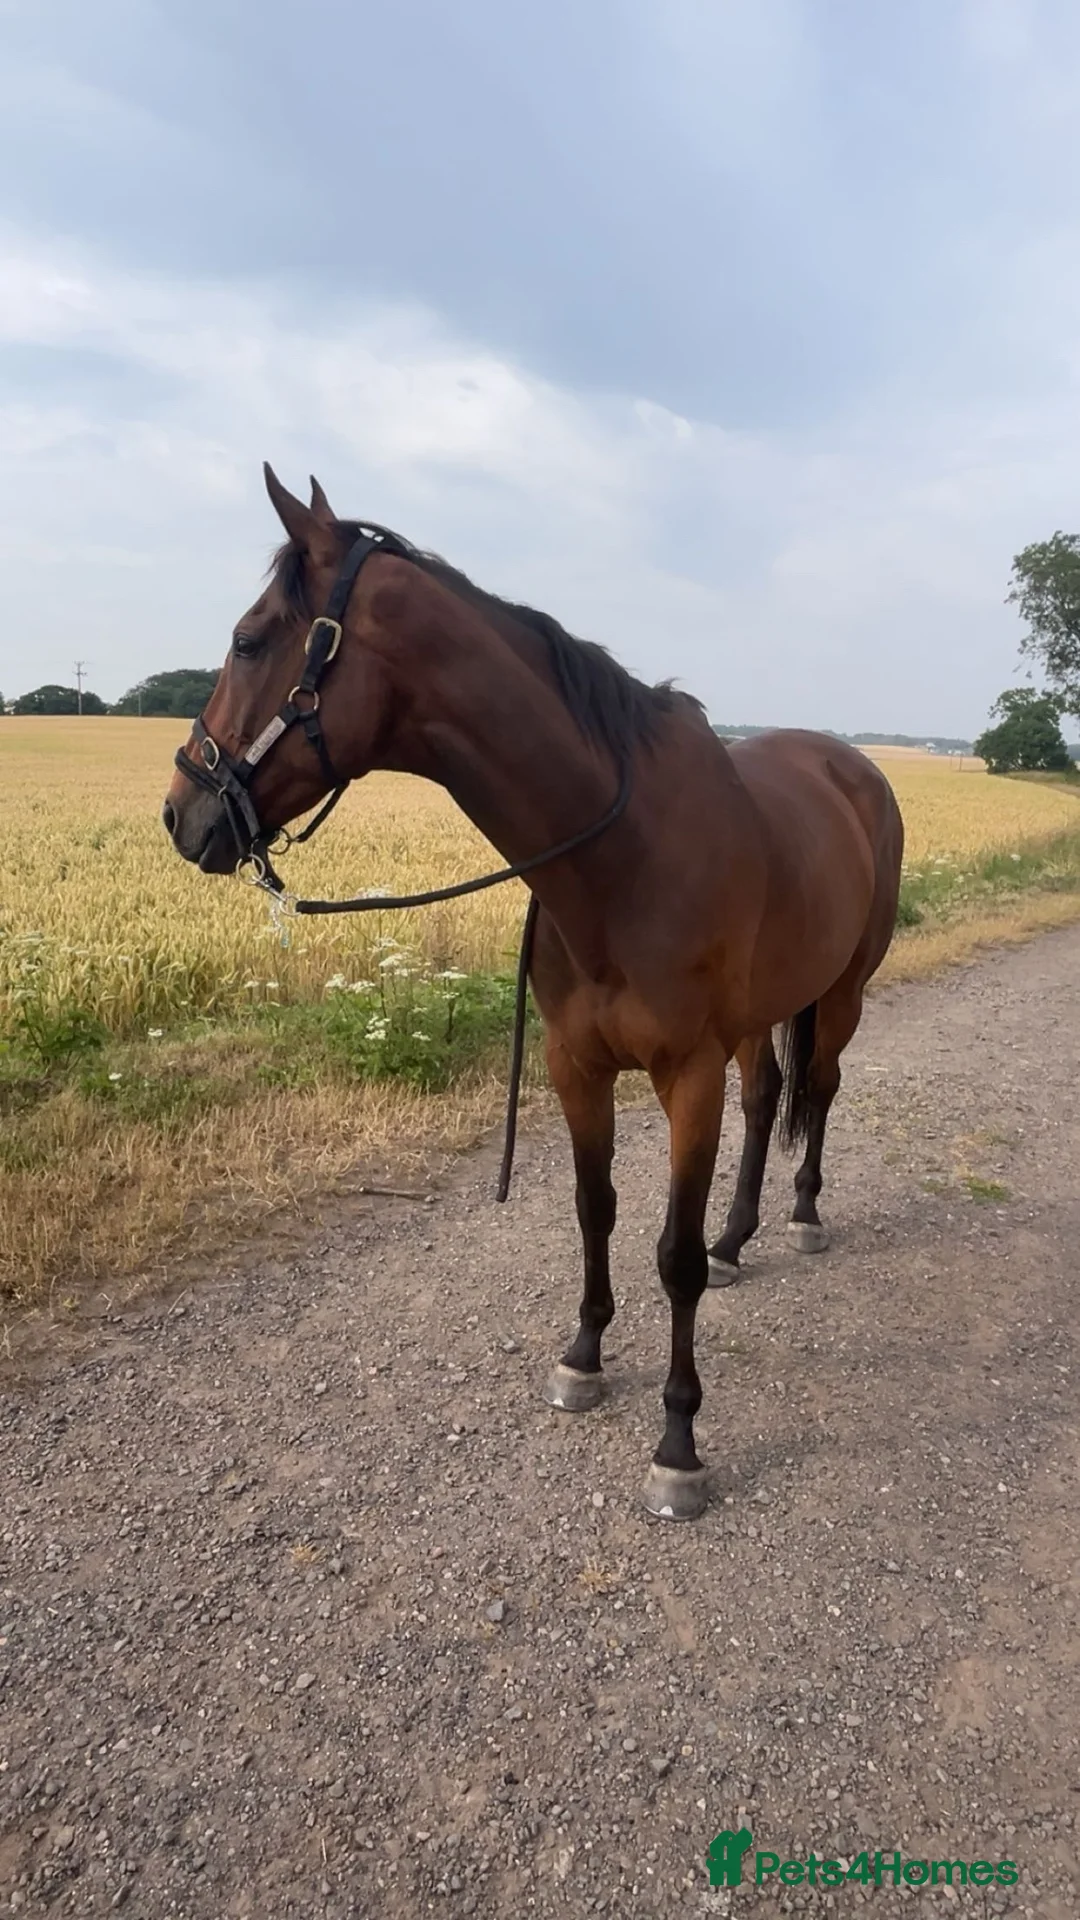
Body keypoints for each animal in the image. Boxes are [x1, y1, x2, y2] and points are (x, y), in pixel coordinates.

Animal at [163, 465, 904, 1521]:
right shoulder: (574, 1065)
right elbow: (595, 1209)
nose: (181, 813)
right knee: (768, 1099)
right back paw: (740, 1235)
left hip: (840, 993)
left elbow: (670, 1256)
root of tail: (856, 766)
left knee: (822, 1090)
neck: (622, 852)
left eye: (248, 638)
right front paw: (585, 1356)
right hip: (759, 1018)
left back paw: (799, 1219)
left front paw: (678, 1444)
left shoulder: (686, 1076)